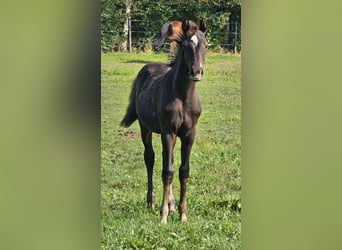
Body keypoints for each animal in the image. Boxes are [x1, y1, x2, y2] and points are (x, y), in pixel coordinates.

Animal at [121, 18, 207, 224]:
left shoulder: (189, 134)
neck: (183, 97)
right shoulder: (168, 131)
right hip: (145, 128)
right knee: (150, 159)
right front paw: (163, 215)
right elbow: (167, 172)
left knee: (170, 159)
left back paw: (172, 204)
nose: (196, 72)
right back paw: (151, 202)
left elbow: (183, 170)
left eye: (206, 45)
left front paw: (182, 214)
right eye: (186, 45)